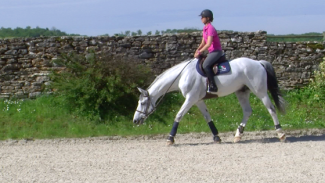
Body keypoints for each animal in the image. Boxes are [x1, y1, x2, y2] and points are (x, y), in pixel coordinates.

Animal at [132, 57, 284, 144]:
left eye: (143, 103)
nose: (135, 120)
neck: (183, 75)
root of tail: (258, 63)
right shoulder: (198, 100)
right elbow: (207, 117)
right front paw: (216, 137)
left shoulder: (191, 98)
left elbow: (179, 115)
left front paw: (170, 138)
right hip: (242, 92)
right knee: (247, 111)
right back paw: (238, 135)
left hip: (260, 91)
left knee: (271, 109)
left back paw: (281, 133)